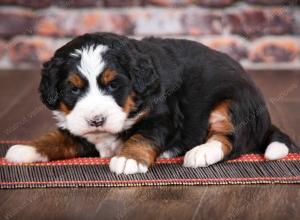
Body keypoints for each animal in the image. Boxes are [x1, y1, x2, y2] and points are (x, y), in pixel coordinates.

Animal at [4, 32, 298, 174]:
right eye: (73, 89)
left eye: (113, 85)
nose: (96, 120)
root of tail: (266, 115)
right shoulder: (78, 128)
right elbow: (57, 137)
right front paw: (26, 149)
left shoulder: (163, 115)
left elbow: (142, 136)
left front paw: (129, 159)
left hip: (233, 103)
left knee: (230, 140)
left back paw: (200, 152)